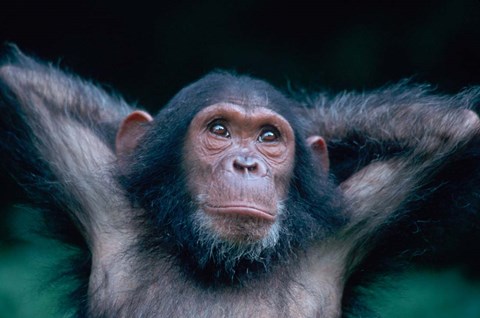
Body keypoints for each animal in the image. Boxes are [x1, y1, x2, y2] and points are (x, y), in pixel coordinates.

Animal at [0, 46, 480, 316]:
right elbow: (24, 85)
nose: (247, 163)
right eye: (220, 130)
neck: (221, 263)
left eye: (269, 137)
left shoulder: (353, 224)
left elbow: (458, 128)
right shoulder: (95, 194)